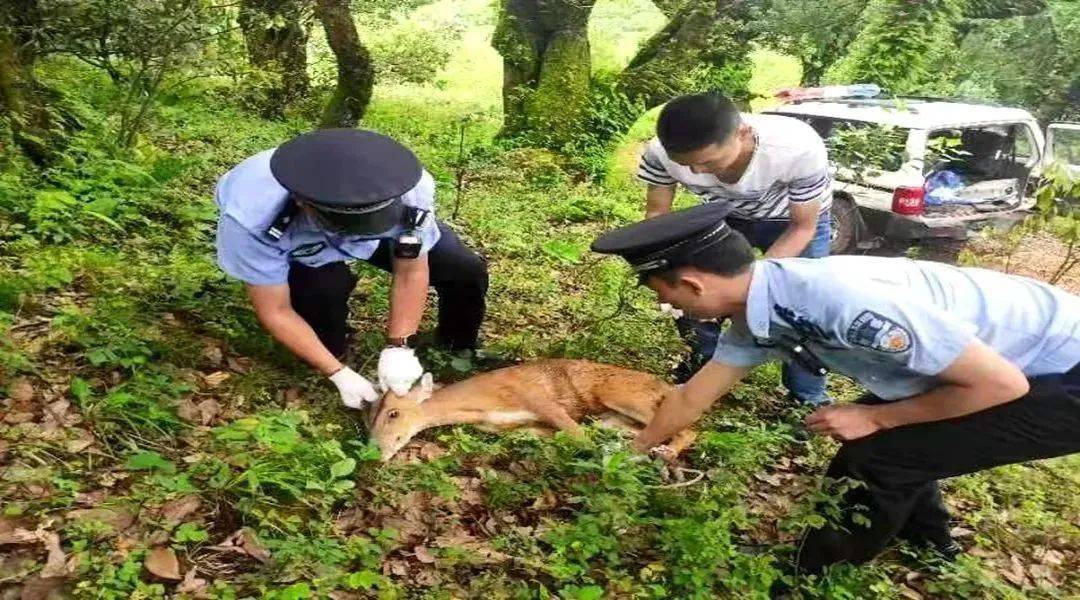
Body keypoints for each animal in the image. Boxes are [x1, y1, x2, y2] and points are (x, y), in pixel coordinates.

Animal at [367, 358, 695, 461]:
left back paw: (667, 453)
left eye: (393, 413)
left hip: (620, 392)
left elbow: (578, 436)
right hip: (612, 417)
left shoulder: (540, 398)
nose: (375, 451)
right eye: (367, 419)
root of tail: (666, 386)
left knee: (689, 428)